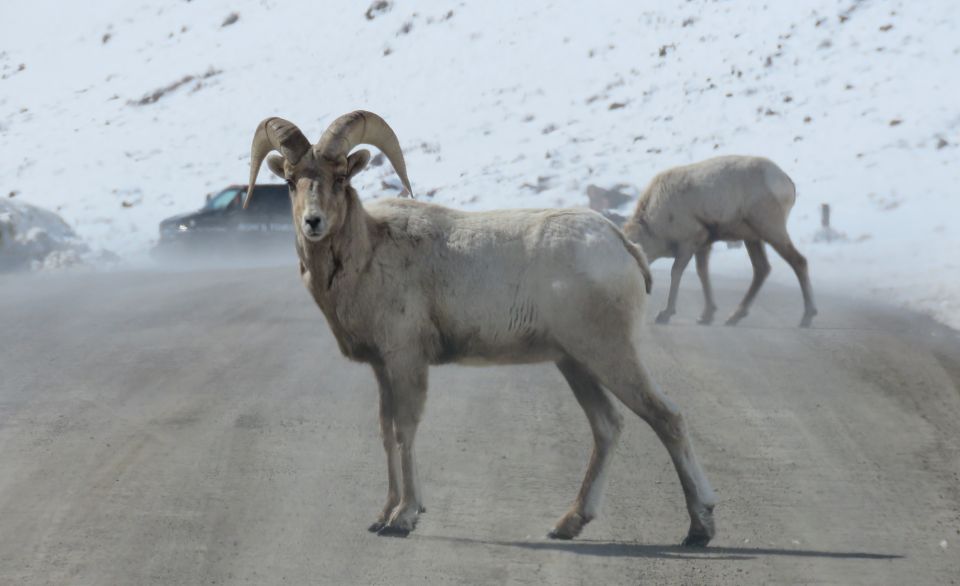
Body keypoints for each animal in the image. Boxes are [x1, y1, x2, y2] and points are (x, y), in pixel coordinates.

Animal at [244, 110, 716, 544]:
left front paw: (404, 517)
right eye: (291, 181)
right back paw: (568, 524)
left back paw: (700, 527)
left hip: (609, 354)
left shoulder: (406, 362)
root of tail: (622, 246)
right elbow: (385, 433)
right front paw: (383, 514)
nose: (314, 223)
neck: (368, 254)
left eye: (340, 177)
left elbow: (404, 430)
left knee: (667, 418)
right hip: (576, 363)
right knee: (608, 427)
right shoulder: (383, 369)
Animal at [624, 155, 816, 326]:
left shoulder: (689, 242)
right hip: (753, 238)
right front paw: (706, 316)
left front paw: (665, 314)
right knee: (762, 269)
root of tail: (786, 182)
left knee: (798, 261)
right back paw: (734, 317)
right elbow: (702, 273)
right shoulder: (702, 245)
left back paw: (807, 317)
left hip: (771, 229)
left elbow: (676, 272)